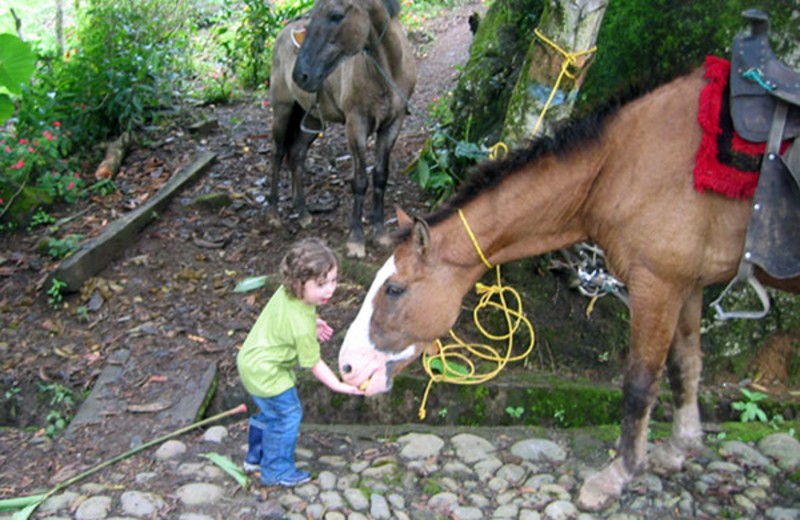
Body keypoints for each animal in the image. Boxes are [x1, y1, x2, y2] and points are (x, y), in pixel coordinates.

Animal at [270, 0, 418, 256]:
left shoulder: (392, 125)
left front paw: (380, 233)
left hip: (311, 120)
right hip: (283, 110)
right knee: (277, 154)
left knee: (296, 155)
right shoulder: (356, 126)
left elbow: (380, 176)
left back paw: (303, 213)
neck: (386, 72)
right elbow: (359, 182)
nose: (301, 75)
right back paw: (273, 213)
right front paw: (356, 239)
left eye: (336, 15)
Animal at [334, 67, 800, 510]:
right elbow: (684, 366)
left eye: (394, 289)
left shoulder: (657, 284)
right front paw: (678, 449)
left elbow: (640, 384)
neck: (618, 167)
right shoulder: (687, 283)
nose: (347, 366)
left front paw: (617, 475)